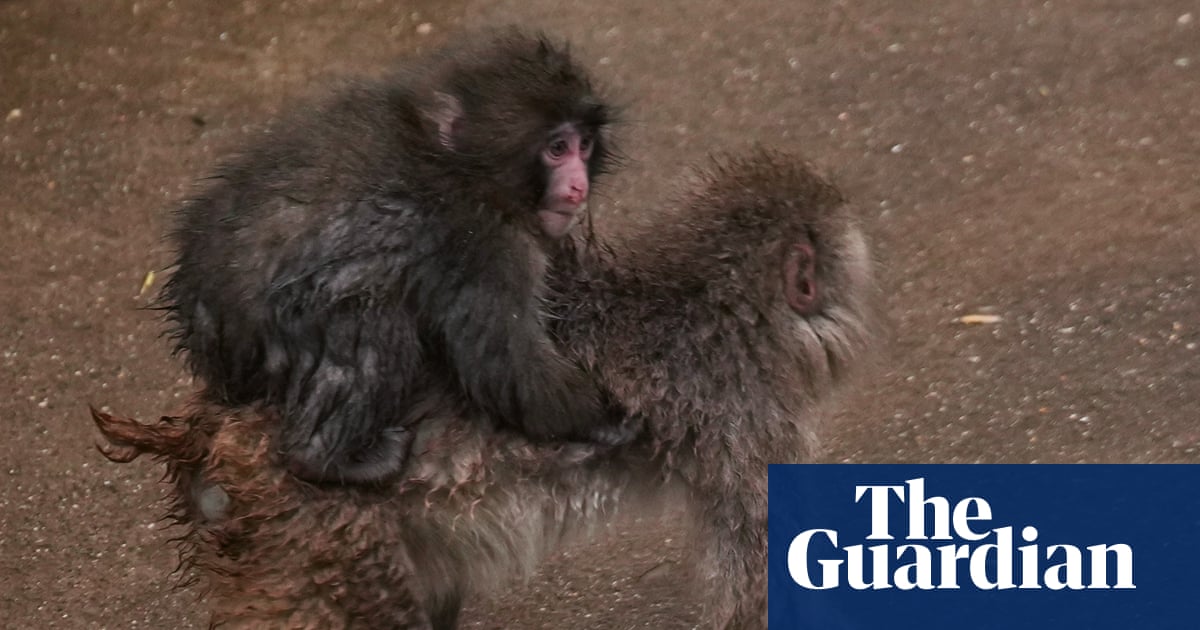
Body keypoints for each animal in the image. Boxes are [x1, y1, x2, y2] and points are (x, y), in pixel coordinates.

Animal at [160, 30, 626, 484]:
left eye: (584, 145)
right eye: (557, 148)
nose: (578, 186)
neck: (461, 165)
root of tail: (201, 313)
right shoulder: (484, 244)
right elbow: (507, 363)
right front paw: (605, 421)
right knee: (372, 321)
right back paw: (322, 458)